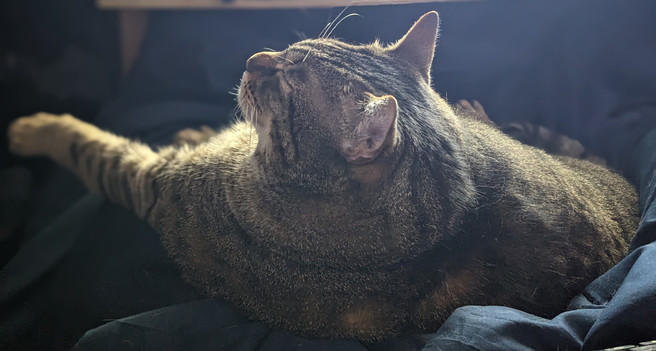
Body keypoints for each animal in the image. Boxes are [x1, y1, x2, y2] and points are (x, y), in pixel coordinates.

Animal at [7, 12, 640, 342]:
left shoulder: (157, 183)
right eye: (291, 46)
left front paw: (34, 127)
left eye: (287, 83)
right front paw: (199, 129)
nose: (254, 58)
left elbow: (89, 145)